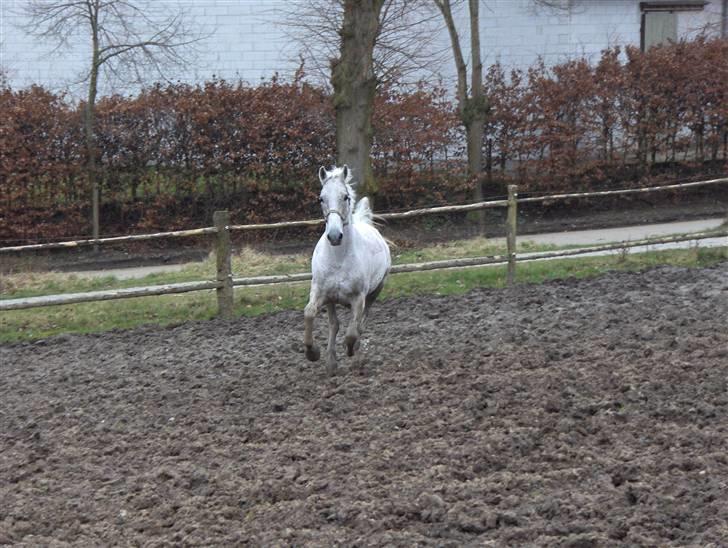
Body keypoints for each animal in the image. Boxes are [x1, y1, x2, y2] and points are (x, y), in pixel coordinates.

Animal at [302, 165, 392, 374]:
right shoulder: (321, 294)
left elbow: (352, 333)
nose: (335, 236)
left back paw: (357, 357)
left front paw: (350, 350)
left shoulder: (358, 298)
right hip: (332, 301)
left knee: (360, 325)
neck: (338, 259)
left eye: (345, 197)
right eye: (321, 198)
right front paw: (314, 353)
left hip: (375, 292)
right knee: (336, 325)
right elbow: (311, 314)